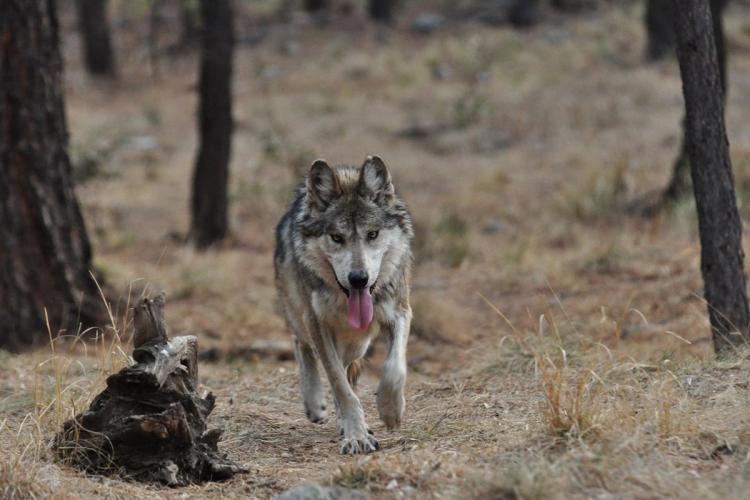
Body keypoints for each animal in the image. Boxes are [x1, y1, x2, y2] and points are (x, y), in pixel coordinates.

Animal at [274, 155, 414, 455]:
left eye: (372, 234)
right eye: (337, 237)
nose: (358, 279)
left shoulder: (399, 312)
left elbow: (394, 369)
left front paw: (390, 410)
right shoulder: (316, 322)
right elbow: (338, 383)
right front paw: (356, 436)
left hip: (357, 344)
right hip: (299, 316)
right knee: (302, 346)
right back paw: (315, 403)